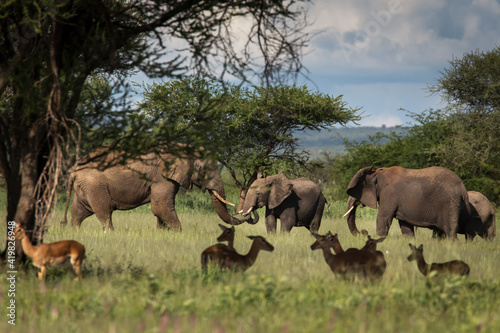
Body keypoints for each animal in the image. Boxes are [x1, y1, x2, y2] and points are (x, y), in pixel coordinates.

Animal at [60, 151, 252, 231]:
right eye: (204, 171)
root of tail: (74, 170)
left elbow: (161, 208)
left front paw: (162, 233)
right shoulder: (162, 177)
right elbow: (160, 207)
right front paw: (177, 234)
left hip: (85, 187)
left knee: (79, 212)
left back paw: (73, 232)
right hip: (95, 185)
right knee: (104, 212)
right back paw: (111, 233)